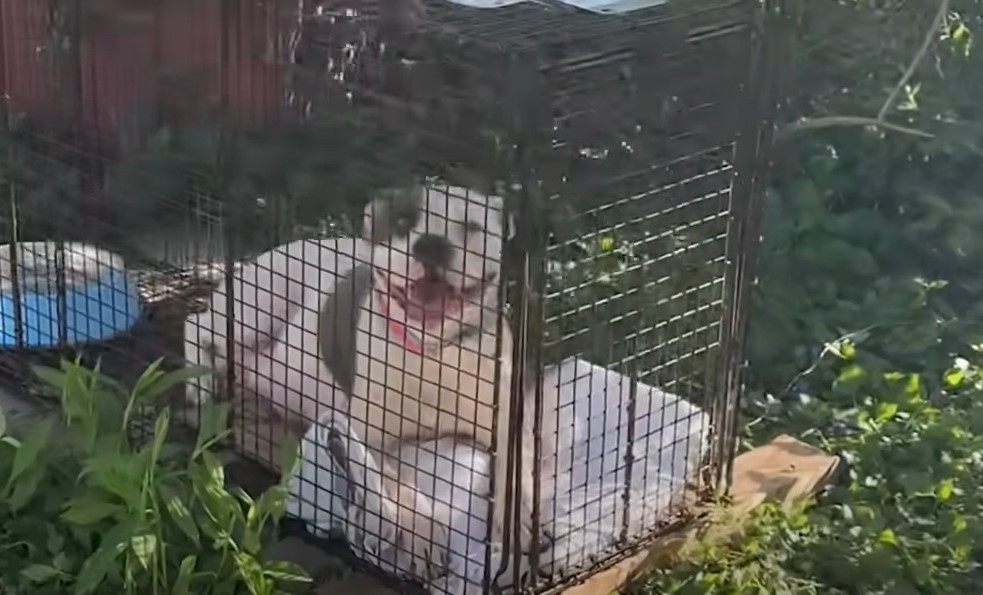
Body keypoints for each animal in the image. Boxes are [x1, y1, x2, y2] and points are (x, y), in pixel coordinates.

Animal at [184, 183, 540, 584]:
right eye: (401, 222)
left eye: (471, 227)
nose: (432, 244)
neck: (430, 351)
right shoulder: (365, 437)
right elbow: (398, 482)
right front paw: (421, 537)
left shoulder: (512, 429)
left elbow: (517, 480)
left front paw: (516, 533)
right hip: (256, 308)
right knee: (197, 324)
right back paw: (199, 384)